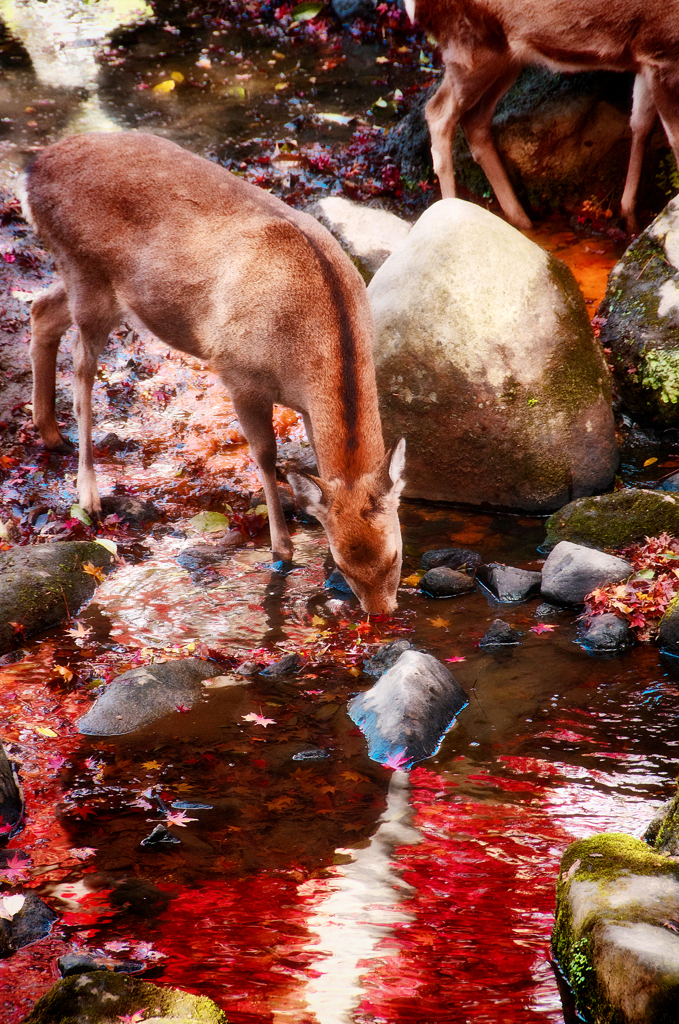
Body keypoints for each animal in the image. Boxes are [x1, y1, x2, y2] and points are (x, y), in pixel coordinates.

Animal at [19, 135, 403, 614]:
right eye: (346, 562)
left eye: (394, 556)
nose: (381, 616)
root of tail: (33, 169)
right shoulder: (238, 375)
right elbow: (265, 456)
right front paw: (281, 553)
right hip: (87, 274)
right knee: (82, 368)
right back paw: (87, 492)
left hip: (80, 281)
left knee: (41, 309)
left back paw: (50, 432)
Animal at [405, 0, 679, 232]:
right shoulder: (661, 52)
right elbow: (674, 138)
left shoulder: (646, 60)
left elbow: (641, 126)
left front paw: (630, 220)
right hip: (470, 46)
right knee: (438, 112)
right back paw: (451, 212)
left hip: (505, 57)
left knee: (474, 119)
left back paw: (521, 220)